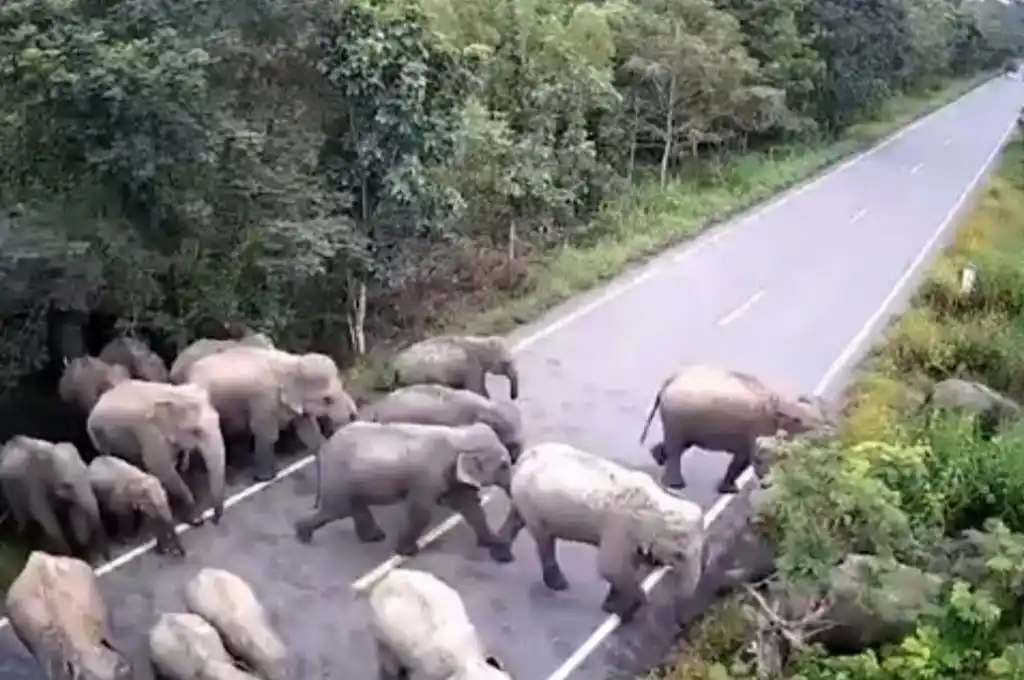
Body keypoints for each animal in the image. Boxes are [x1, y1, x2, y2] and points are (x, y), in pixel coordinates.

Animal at [86, 379, 226, 526]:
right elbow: (162, 469)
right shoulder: (149, 434)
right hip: (97, 437)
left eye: (218, 418)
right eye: (196, 431)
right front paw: (196, 518)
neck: (173, 394)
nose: (213, 519)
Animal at [294, 422, 512, 557]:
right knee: (336, 510)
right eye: (503, 465)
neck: (459, 435)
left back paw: (374, 537)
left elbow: (470, 506)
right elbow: (422, 511)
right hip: (338, 476)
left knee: (352, 507)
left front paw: (492, 542)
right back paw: (302, 535)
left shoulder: (451, 478)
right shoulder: (428, 477)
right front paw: (407, 552)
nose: (507, 555)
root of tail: (325, 448)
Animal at [390, 335, 519, 400]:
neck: (480, 341)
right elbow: (476, 390)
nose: (513, 397)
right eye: (506, 363)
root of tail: (396, 367)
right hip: (420, 376)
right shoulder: (471, 366)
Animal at [490, 441, 704, 622]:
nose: (682, 620)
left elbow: (627, 565)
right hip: (531, 503)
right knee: (544, 539)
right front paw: (636, 604)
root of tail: (526, 455)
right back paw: (559, 584)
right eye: (679, 555)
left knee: (517, 520)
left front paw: (614, 608)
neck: (659, 503)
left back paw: (502, 555)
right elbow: (610, 567)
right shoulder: (619, 527)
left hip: (523, 497)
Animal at [638, 364, 836, 492]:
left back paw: (658, 458)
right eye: (798, 420)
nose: (833, 433)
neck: (778, 398)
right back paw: (675, 485)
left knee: (680, 445)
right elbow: (748, 458)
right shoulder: (756, 429)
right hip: (678, 416)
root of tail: (669, 380)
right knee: (677, 446)